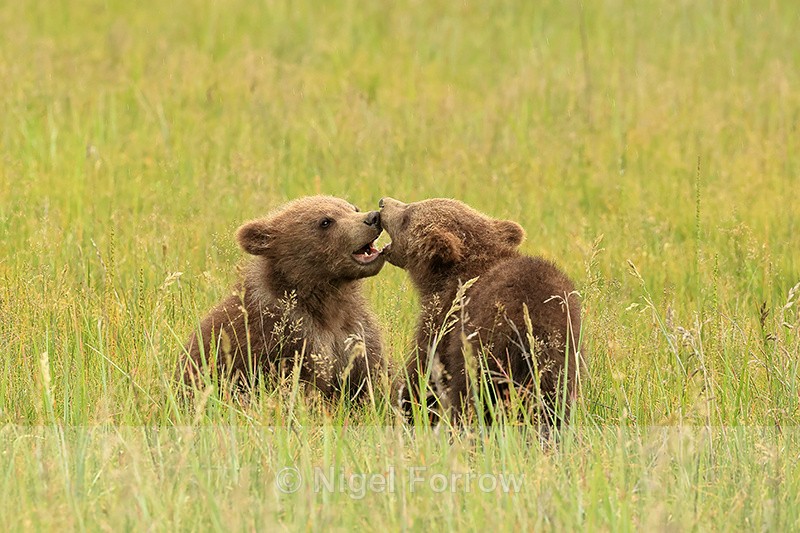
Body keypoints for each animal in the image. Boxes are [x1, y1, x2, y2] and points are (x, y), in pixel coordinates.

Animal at [180, 195, 387, 402]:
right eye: (325, 221)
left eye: (353, 208)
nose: (373, 217)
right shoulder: (284, 339)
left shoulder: (357, 331)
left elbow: (374, 377)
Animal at [378, 197, 583, 429]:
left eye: (407, 216)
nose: (383, 203)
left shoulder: (446, 319)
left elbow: (424, 367)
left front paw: (407, 406)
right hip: (562, 359)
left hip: (484, 349)